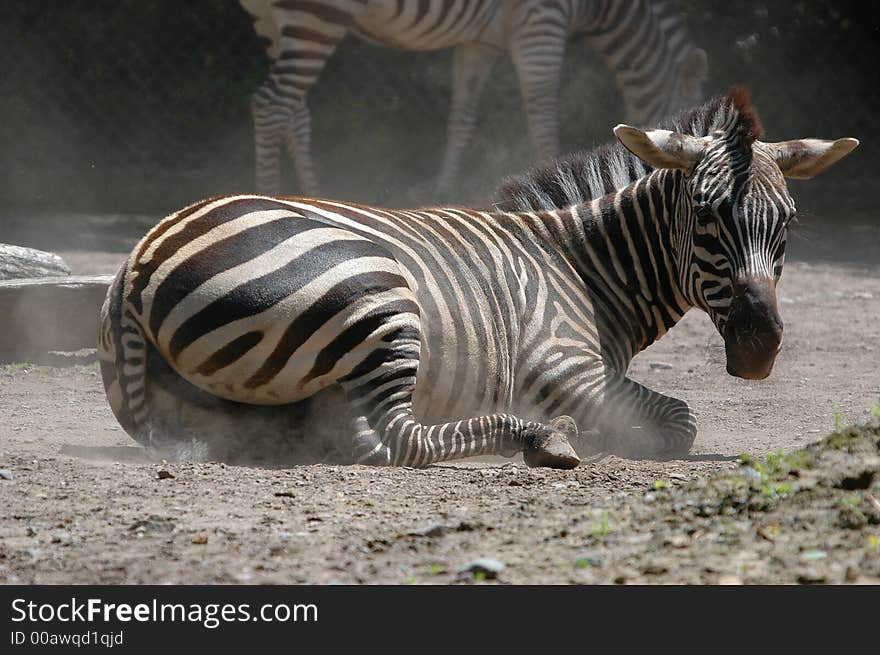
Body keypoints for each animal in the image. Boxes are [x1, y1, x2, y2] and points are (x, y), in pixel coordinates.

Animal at [98, 89, 860, 468]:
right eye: (704, 216)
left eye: (788, 220)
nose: (759, 347)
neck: (584, 268)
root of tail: (137, 265)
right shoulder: (564, 365)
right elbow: (679, 421)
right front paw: (606, 434)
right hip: (378, 297)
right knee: (394, 439)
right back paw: (538, 438)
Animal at [241, 0, 708, 195]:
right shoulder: (542, 24)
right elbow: (542, 113)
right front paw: (553, 171)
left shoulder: (477, 45)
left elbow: (461, 117)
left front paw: (444, 187)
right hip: (316, 13)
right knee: (270, 105)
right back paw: (266, 197)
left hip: (272, 20)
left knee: (293, 112)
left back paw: (308, 193)